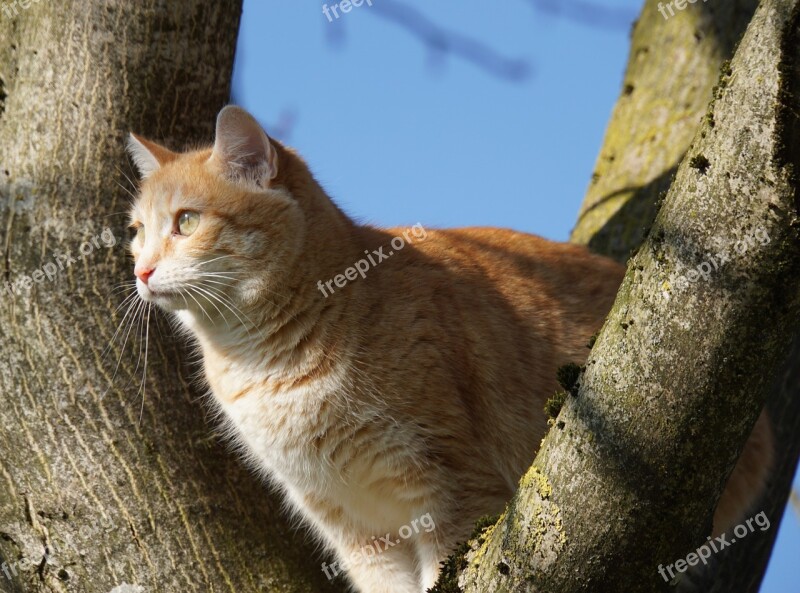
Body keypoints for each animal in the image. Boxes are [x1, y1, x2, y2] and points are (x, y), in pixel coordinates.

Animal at [126, 105, 776, 592]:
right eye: (137, 231)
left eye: (186, 222)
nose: (141, 270)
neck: (265, 362)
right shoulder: (353, 529)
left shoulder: (452, 485)